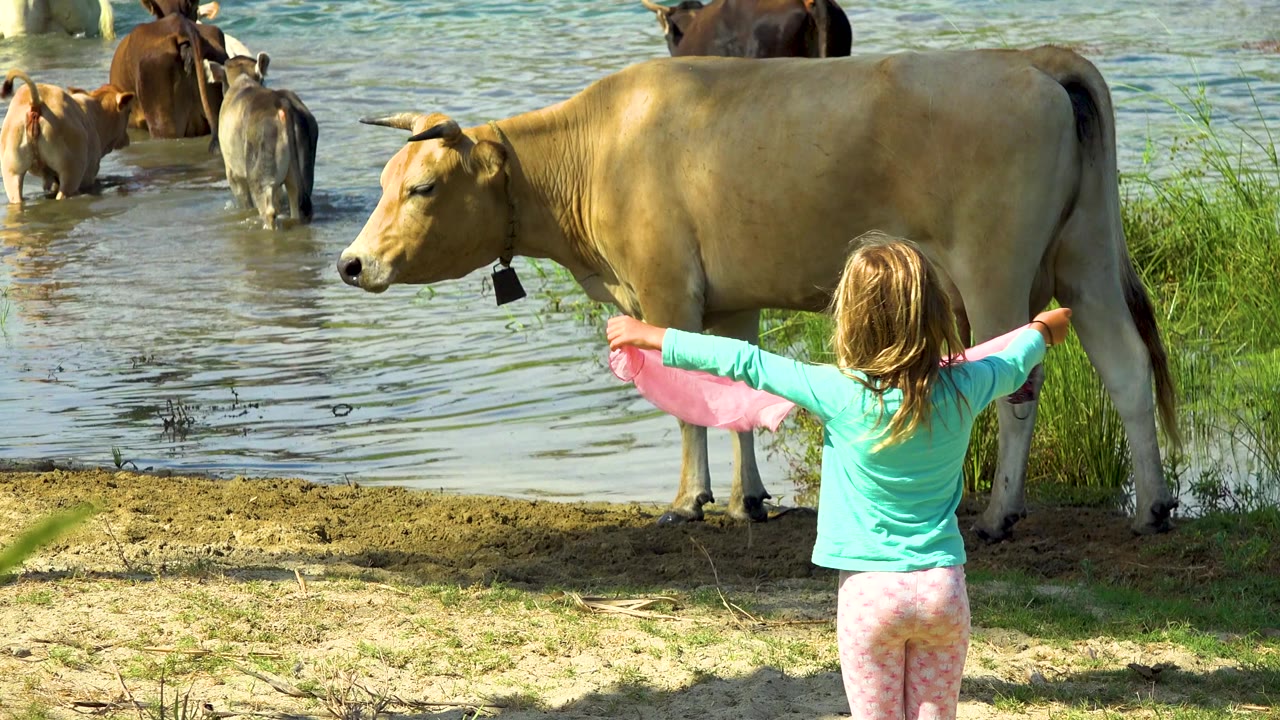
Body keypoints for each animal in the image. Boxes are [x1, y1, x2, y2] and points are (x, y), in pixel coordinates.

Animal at [208, 53, 317, 230]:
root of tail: (282, 103)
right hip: (302, 175)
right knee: (298, 204)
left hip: (259, 173)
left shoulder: (233, 173)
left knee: (269, 211)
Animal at [336, 48, 1181, 541]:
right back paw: (1152, 507)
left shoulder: (665, 286)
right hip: (1085, 257)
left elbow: (686, 401)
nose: (350, 263)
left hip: (994, 267)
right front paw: (749, 499)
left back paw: (1001, 514)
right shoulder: (731, 298)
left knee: (1020, 386)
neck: (597, 148)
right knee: (1126, 367)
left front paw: (688, 501)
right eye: (382, 181)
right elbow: (734, 391)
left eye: (421, 186)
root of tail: (1035, 61)